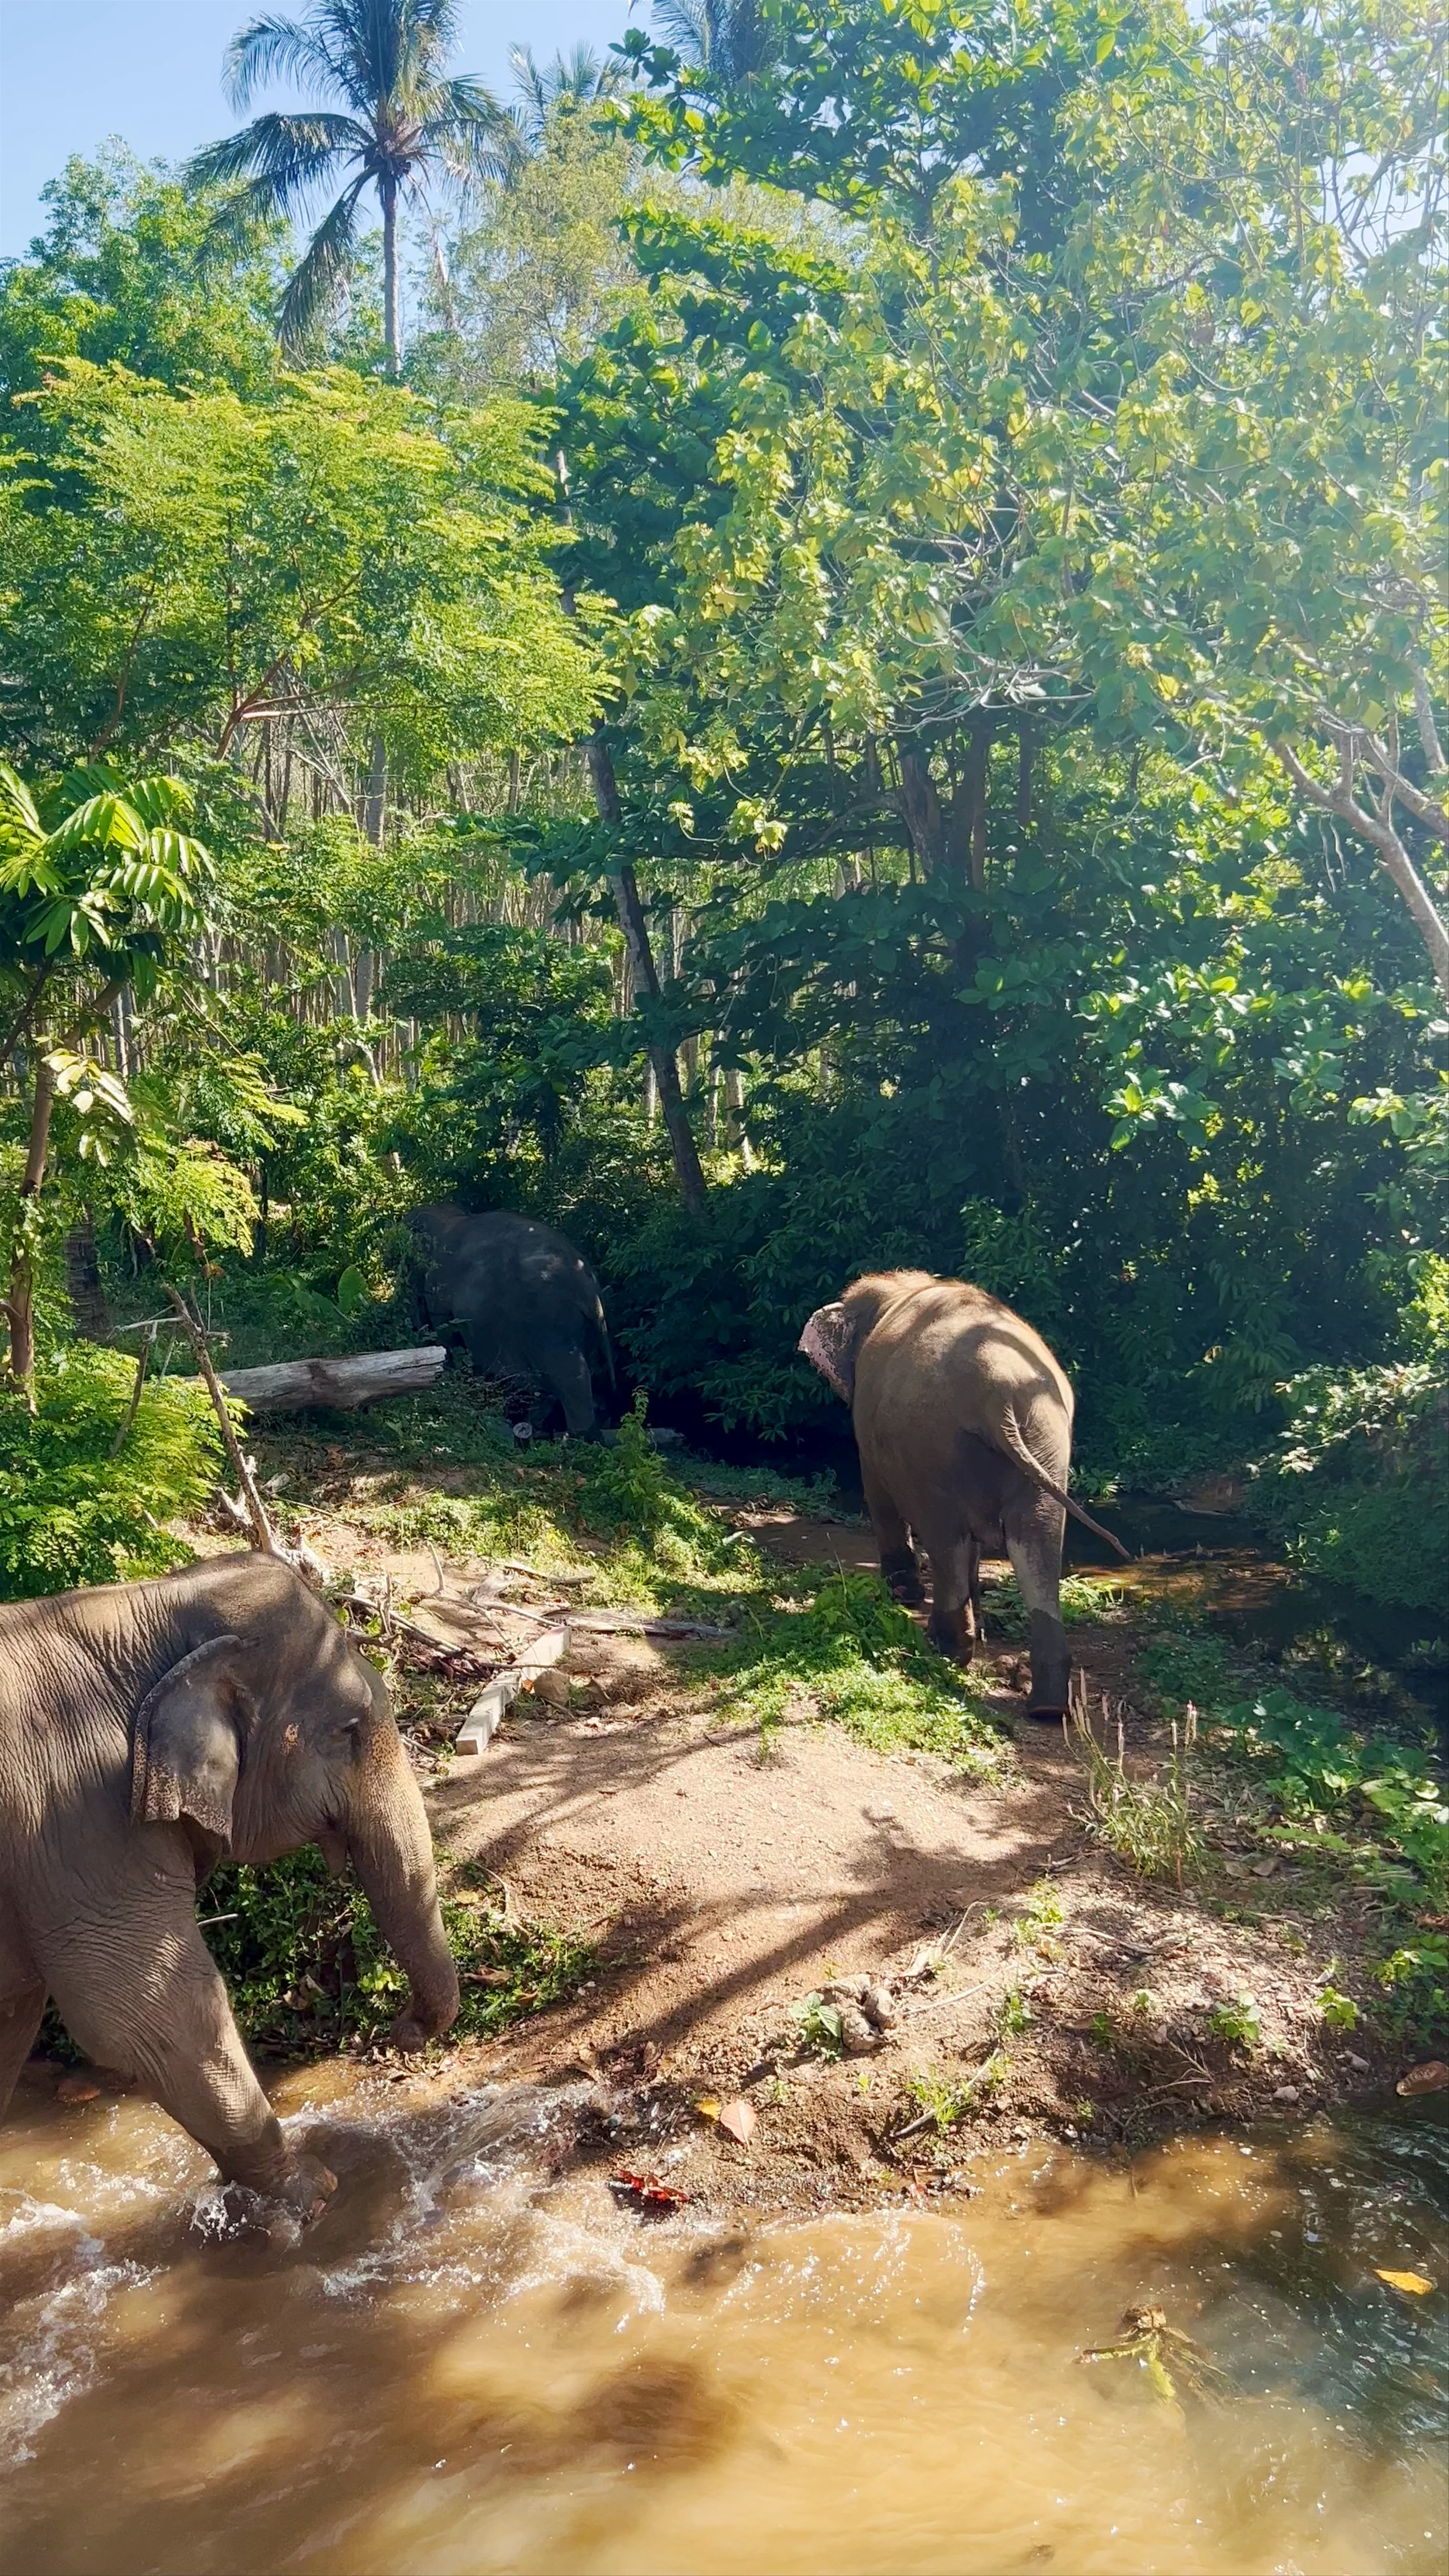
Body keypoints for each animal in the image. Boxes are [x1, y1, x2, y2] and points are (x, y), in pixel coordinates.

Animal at [0, 1555, 459, 2215]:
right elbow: (141, 2009)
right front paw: (312, 2189)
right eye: (348, 1729)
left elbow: (16, 2019)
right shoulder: (78, 1821)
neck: (151, 1602)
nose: (405, 2030)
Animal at [405, 1205, 614, 1439]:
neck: (449, 1218)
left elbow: (447, 1335)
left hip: (547, 1317)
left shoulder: (439, 1289)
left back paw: (578, 1439)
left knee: (570, 1375)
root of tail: (588, 1288)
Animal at [799, 1270, 1128, 1719]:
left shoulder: (868, 1424)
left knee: (947, 1539)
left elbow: (878, 1492)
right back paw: (1045, 1706)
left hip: (933, 1445)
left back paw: (944, 1651)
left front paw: (902, 1597)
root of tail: (997, 1393)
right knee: (1036, 1543)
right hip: (1047, 1438)